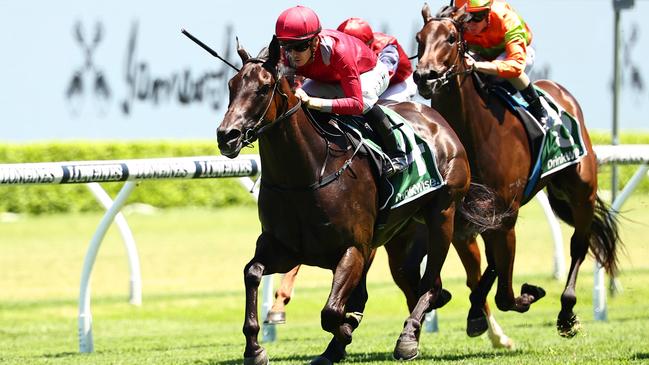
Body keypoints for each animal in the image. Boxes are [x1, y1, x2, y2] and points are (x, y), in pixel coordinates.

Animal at [215, 35, 504, 362]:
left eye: (264, 88)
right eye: (232, 85)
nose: (227, 135)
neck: (307, 174)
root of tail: (436, 120)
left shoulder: (353, 249)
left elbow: (331, 312)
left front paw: (344, 331)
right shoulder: (283, 248)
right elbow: (252, 272)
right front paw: (255, 347)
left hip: (442, 214)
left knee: (430, 284)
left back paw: (407, 338)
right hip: (399, 236)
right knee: (419, 283)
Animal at [412, 3, 620, 338]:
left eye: (451, 38)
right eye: (420, 38)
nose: (425, 77)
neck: (475, 132)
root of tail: (560, 92)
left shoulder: (506, 215)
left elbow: (506, 296)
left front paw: (528, 294)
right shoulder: (462, 214)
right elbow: (486, 269)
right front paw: (476, 313)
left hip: (581, 191)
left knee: (579, 245)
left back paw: (566, 311)